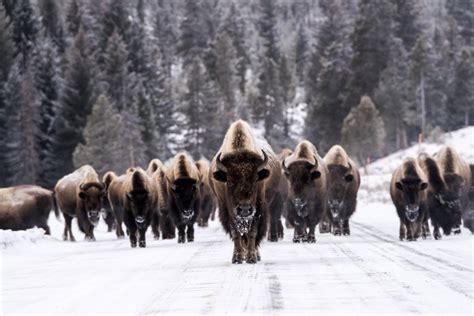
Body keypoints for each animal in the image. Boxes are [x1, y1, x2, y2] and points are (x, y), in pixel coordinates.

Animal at [209, 119, 280, 262]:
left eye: (255, 179)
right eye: (229, 181)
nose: (245, 209)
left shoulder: (258, 208)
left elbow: (252, 232)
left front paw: (252, 257)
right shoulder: (228, 209)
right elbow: (236, 232)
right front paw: (237, 258)